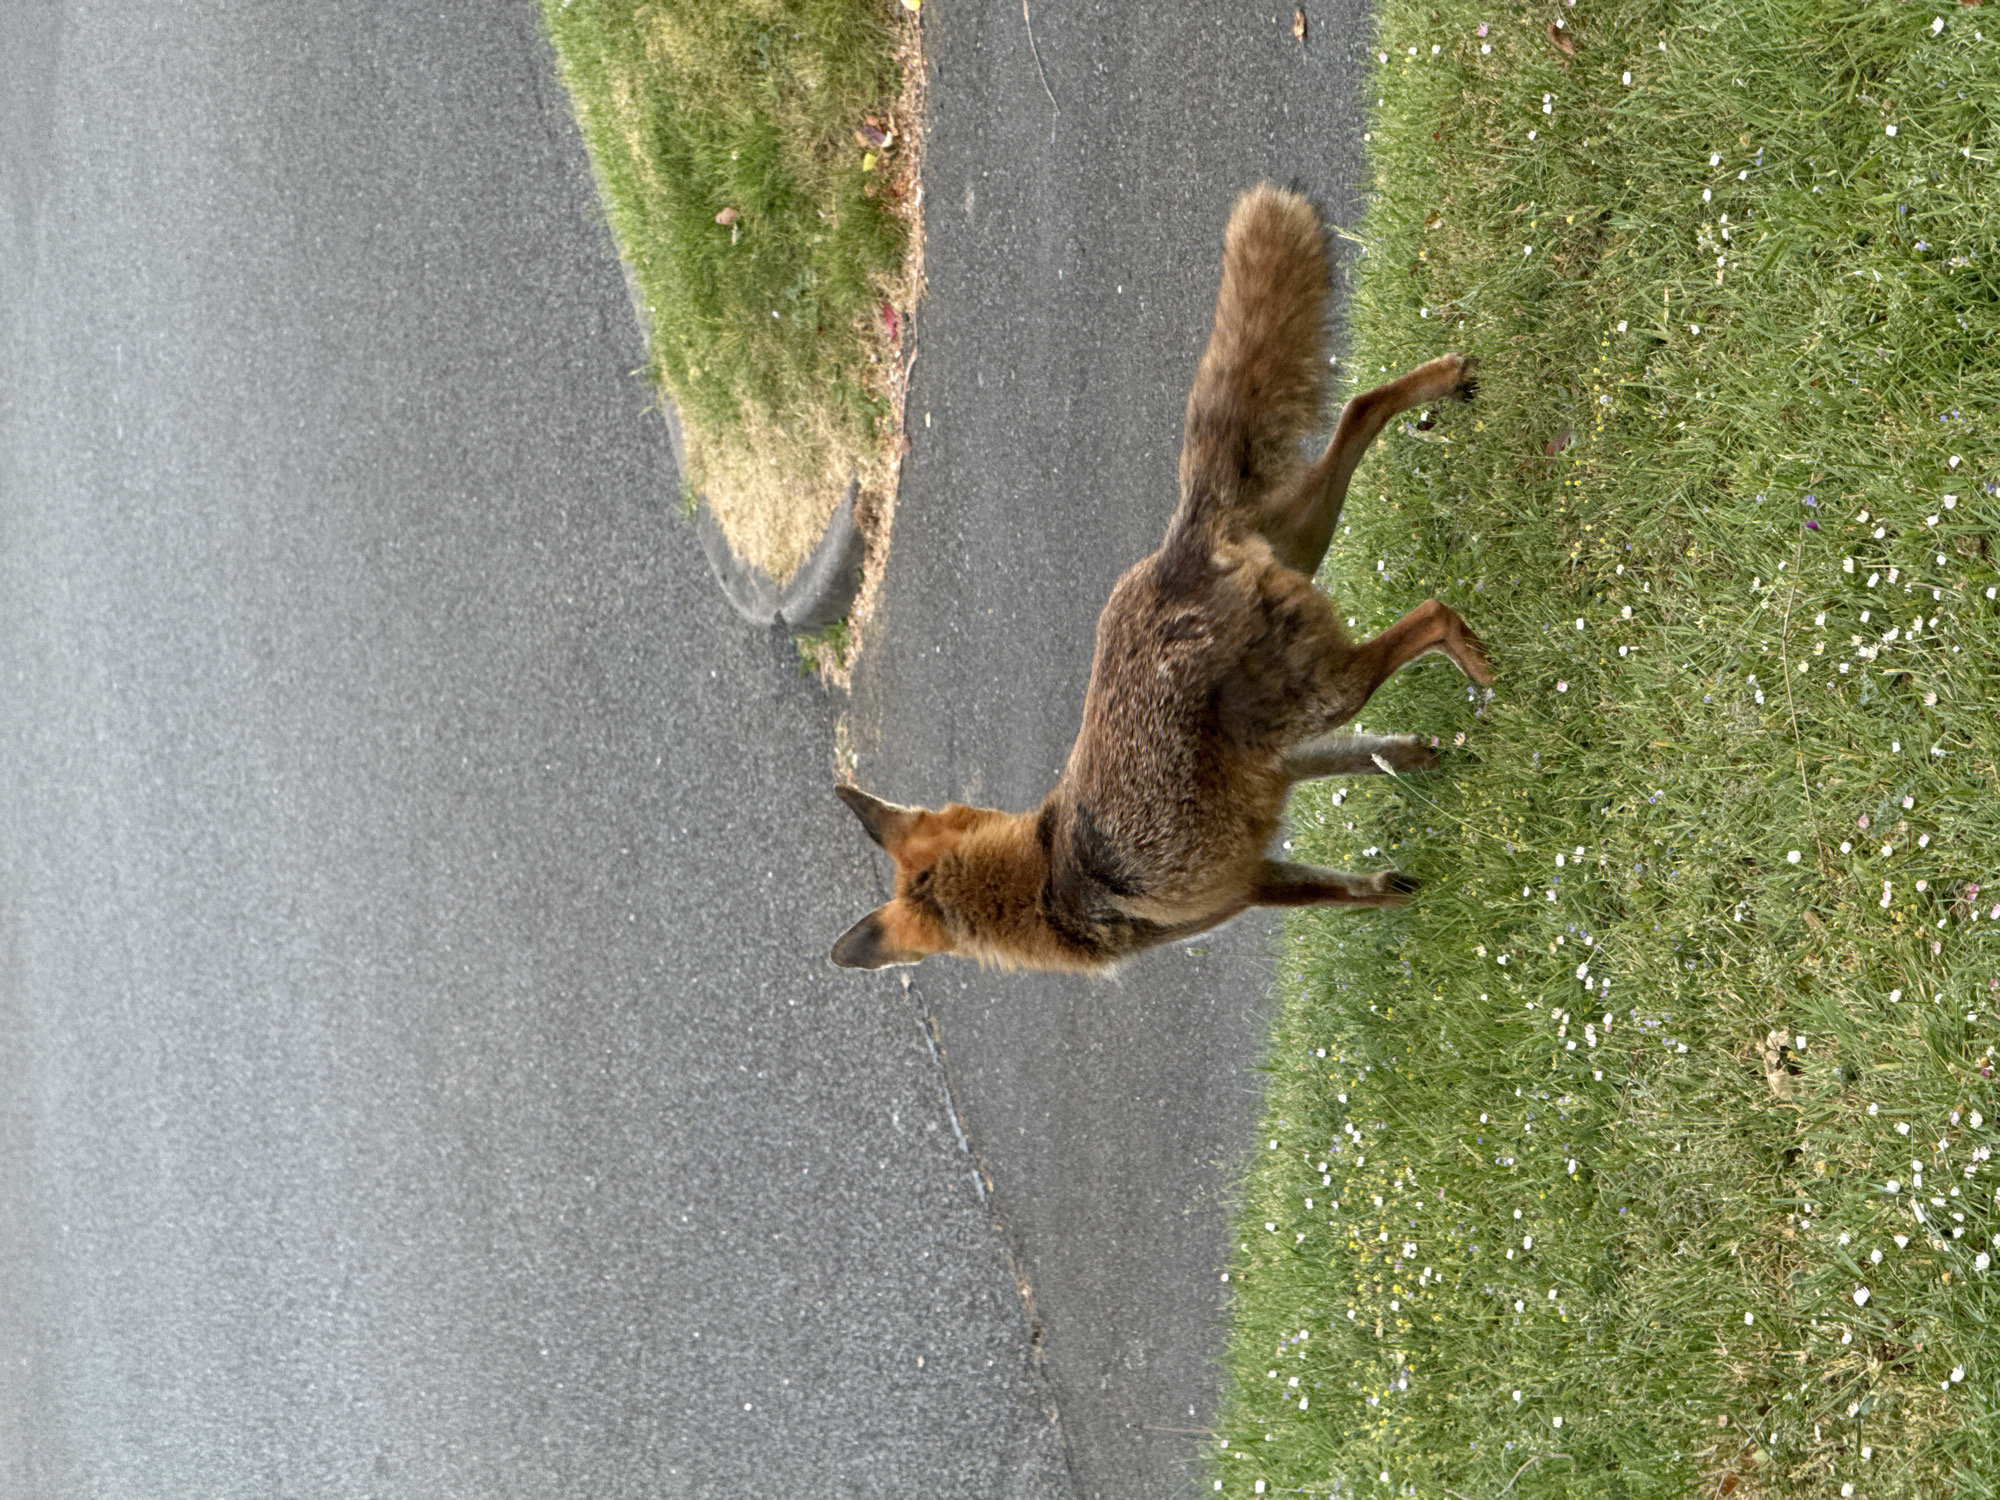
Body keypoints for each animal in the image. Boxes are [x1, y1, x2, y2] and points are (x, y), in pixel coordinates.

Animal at [831, 183, 1493, 973]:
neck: (1050, 884)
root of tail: (1179, 548)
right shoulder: (1281, 765)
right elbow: (1371, 765)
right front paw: (1423, 770)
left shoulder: (1240, 890)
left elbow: (1342, 895)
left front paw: (1406, 896)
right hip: (1304, 555)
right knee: (1360, 410)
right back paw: (1444, 379)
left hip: (1328, 687)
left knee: (1430, 613)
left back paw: (1481, 662)